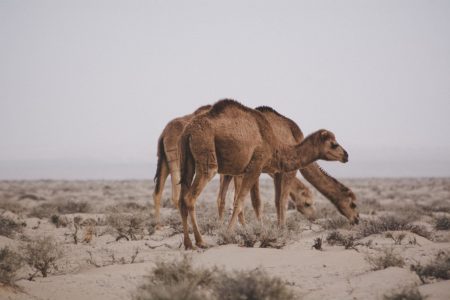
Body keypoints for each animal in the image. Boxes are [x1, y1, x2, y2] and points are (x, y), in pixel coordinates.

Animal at [217, 105, 358, 225]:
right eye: (352, 204)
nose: (356, 219)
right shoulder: (285, 169)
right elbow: (274, 201)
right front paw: (273, 228)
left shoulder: (276, 171)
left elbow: (277, 201)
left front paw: (278, 227)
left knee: (222, 197)